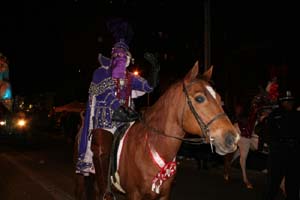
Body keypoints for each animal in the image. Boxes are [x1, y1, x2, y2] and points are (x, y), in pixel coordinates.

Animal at [75, 61, 241, 200]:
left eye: (219, 99)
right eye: (199, 98)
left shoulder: (163, 195)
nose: (232, 138)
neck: (151, 147)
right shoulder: (134, 195)